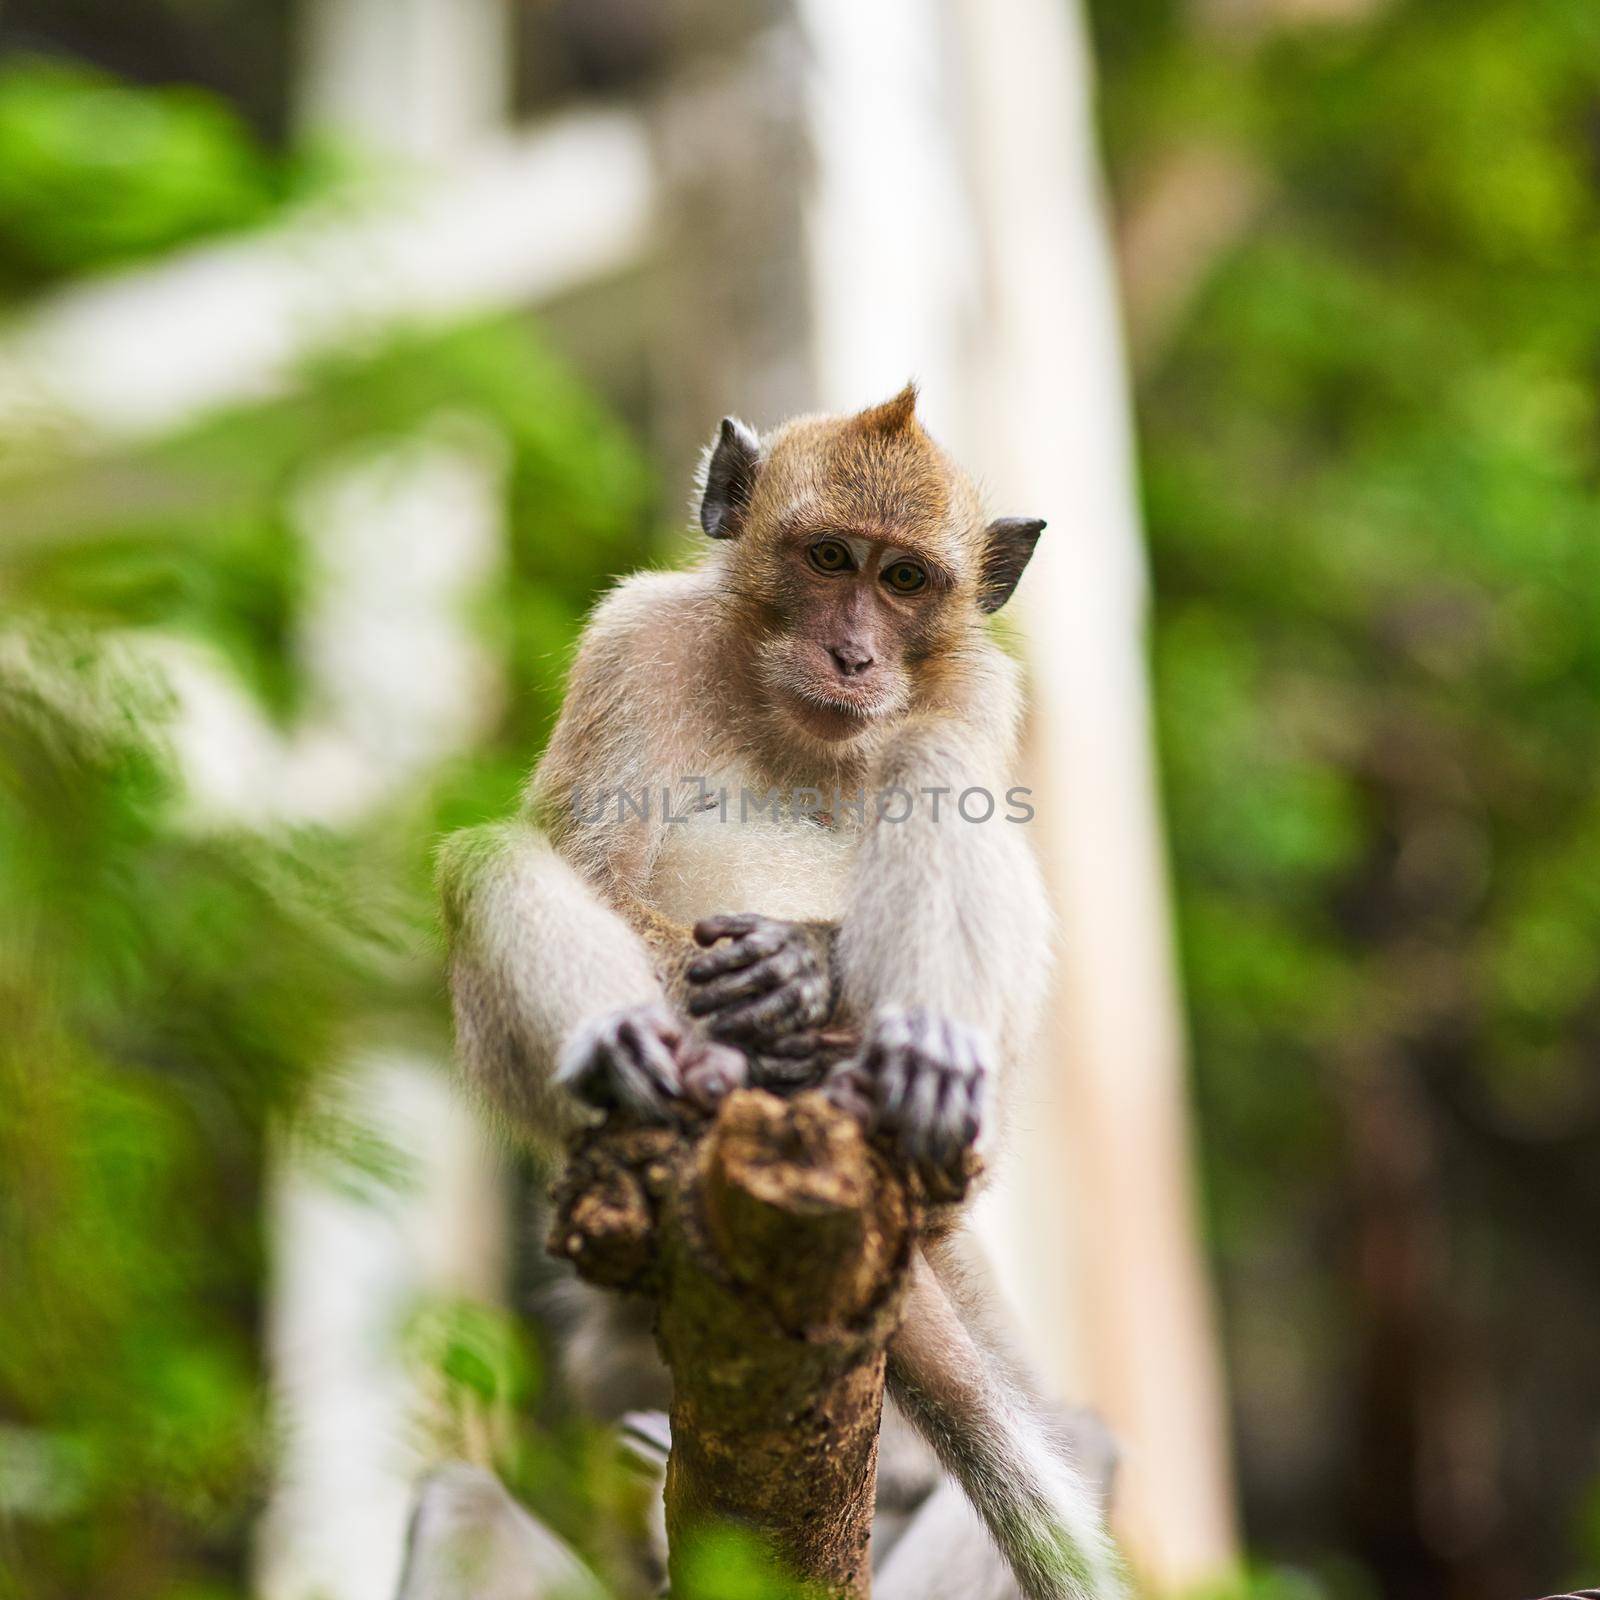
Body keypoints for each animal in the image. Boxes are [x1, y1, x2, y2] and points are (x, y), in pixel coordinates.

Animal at [432, 387, 1120, 1600]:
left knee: (941, 789)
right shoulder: (633, 642)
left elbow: (955, 784)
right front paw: (751, 995)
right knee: (484, 863)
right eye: (829, 557)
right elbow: (592, 870)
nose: (852, 652)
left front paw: (804, 970)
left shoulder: (980, 689)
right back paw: (649, 1059)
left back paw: (913, 1075)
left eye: (905, 581)